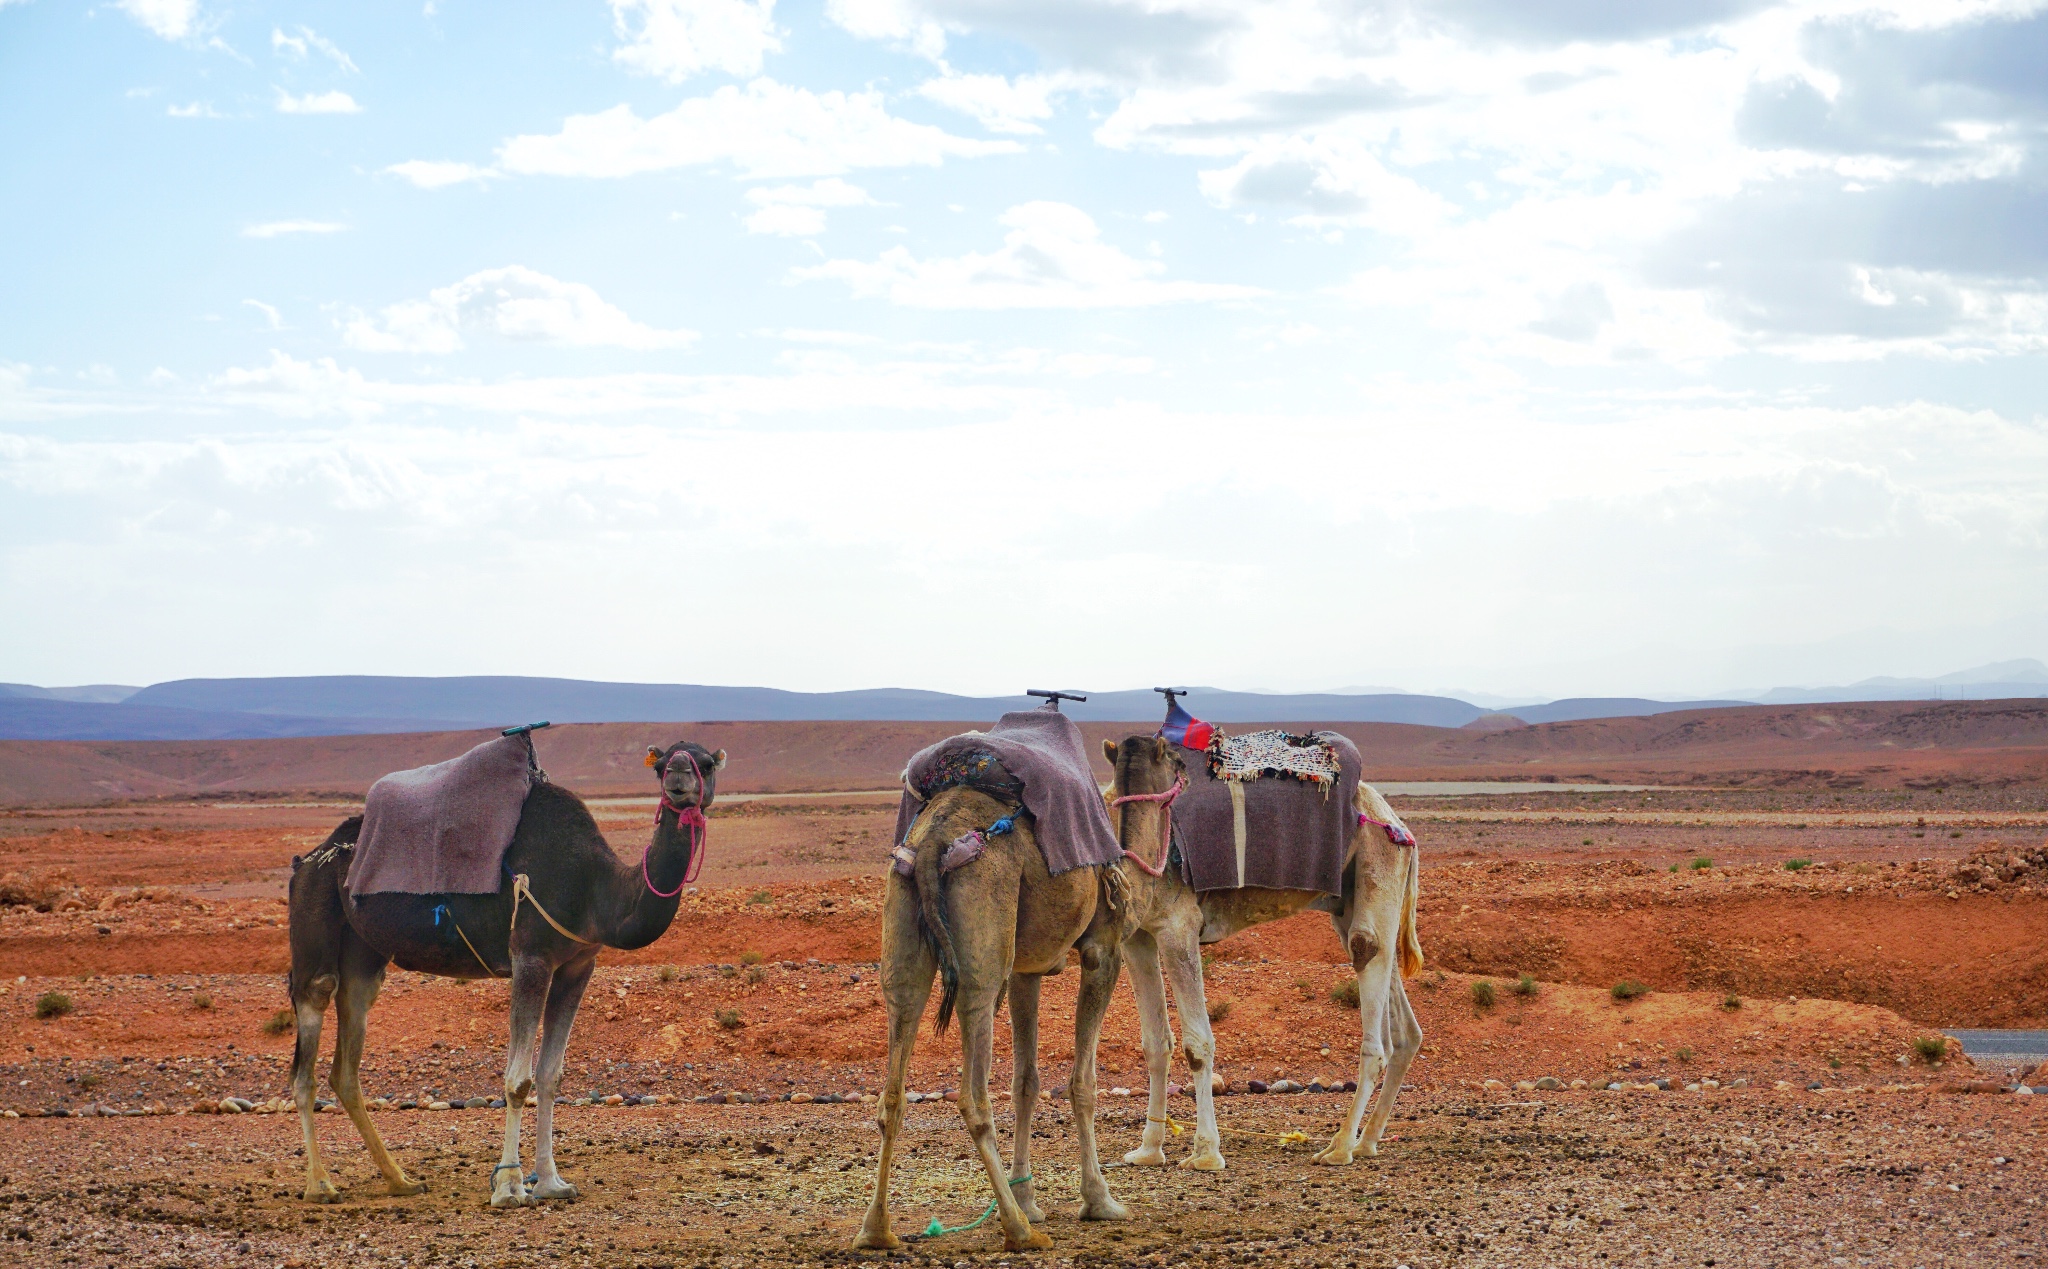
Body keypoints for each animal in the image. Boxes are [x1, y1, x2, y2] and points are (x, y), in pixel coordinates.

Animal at [288, 736, 720, 1203]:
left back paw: (400, 1179)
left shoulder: (577, 965)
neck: (595, 886)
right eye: (660, 766)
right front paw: (510, 1187)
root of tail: (306, 861)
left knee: (348, 1051)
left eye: (707, 764)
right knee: (310, 1031)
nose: (678, 776)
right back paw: (319, 1184)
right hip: (314, 923)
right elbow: (519, 1081)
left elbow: (550, 1076)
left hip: (363, 952)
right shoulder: (530, 955)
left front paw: (550, 1182)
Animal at [851, 790, 1130, 1252]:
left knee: (892, 1088)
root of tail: (933, 845)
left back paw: (876, 1229)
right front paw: (1098, 1200)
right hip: (983, 953)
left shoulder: (1025, 970)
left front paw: (1029, 1198)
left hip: (902, 935)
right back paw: (1019, 1230)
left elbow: (1026, 1082)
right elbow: (1082, 1083)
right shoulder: (1103, 949)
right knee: (973, 1095)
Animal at [1105, 732, 1425, 1170]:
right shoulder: (1137, 937)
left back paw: (1340, 1146)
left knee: (1368, 965)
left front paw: (1206, 1152)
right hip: (1352, 902)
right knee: (1403, 1026)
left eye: (1171, 781)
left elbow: (1197, 1045)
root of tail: (1397, 823)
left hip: (1379, 869)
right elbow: (1156, 1044)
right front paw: (1148, 1150)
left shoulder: (1178, 927)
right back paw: (1367, 1141)